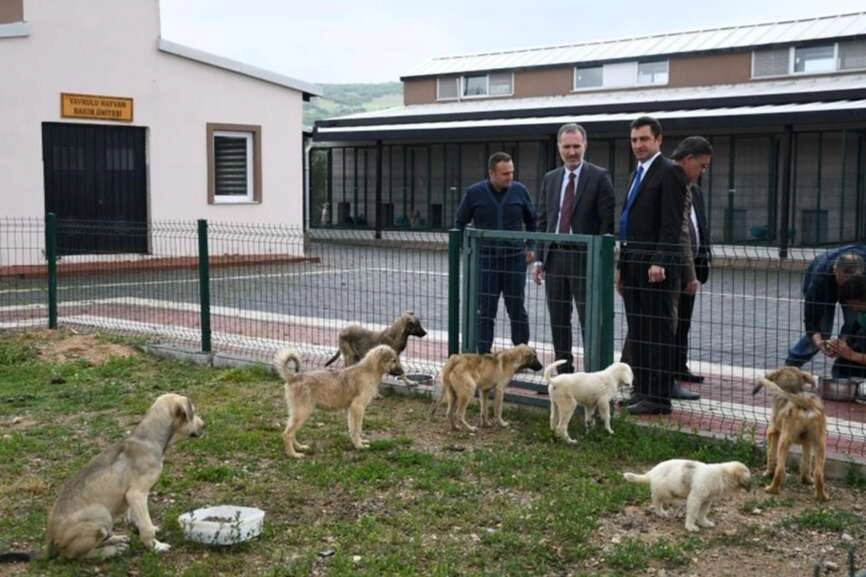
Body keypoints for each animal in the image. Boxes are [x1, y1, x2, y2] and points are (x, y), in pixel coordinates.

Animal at [46, 392, 205, 560]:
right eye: (193, 412)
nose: (204, 425)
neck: (148, 439)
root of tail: (52, 543)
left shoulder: (133, 497)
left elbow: (139, 519)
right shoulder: (136, 494)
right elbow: (146, 527)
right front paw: (155, 546)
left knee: (101, 539)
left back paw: (117, 538)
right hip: (101, 513)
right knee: (78, 555)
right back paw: (112, 550)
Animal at [274, 342, 402, 460]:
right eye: (394, 360)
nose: (402, 373)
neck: (369, 370)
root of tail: (293, 377)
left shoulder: (352, 409)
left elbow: (353, 428)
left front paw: (358, 443)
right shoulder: (358, 407)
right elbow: (357, 428)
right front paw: (359, 446)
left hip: (298, 413)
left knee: (290, 432)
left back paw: (300, 447)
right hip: (303, 412)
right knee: (287, 434)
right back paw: (293, 454)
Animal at [620, 456, 748, 532]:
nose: (750, 489)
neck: (722, 475)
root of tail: (651, 472)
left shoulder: (707, 500)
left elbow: (702, 513)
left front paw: (704, 523)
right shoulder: (695, 498)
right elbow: (692, 514)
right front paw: (690, 526)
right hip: (666, 491)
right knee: (655, 499)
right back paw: (660, 512)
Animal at [752, 368, 828, 500]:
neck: (791, 390)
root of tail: (805, 402)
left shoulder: (772, 432)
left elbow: (770, 455)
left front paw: (767, 472)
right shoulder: (807, 443)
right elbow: (806, 461)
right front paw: (806, 479)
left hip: (784, 441)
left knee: (780, 469)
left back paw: (772, 489)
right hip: (820, 443)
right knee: (819, 473)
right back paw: (822, 496)